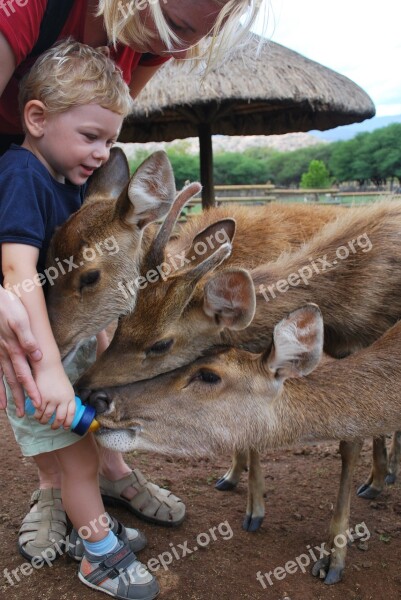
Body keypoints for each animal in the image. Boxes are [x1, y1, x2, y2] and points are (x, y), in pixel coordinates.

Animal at [76, 197, 401, 524]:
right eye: (122, 319)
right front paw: (241, 489)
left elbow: (351, 439)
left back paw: (384, 476)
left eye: (160, 344)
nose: (84, 387)